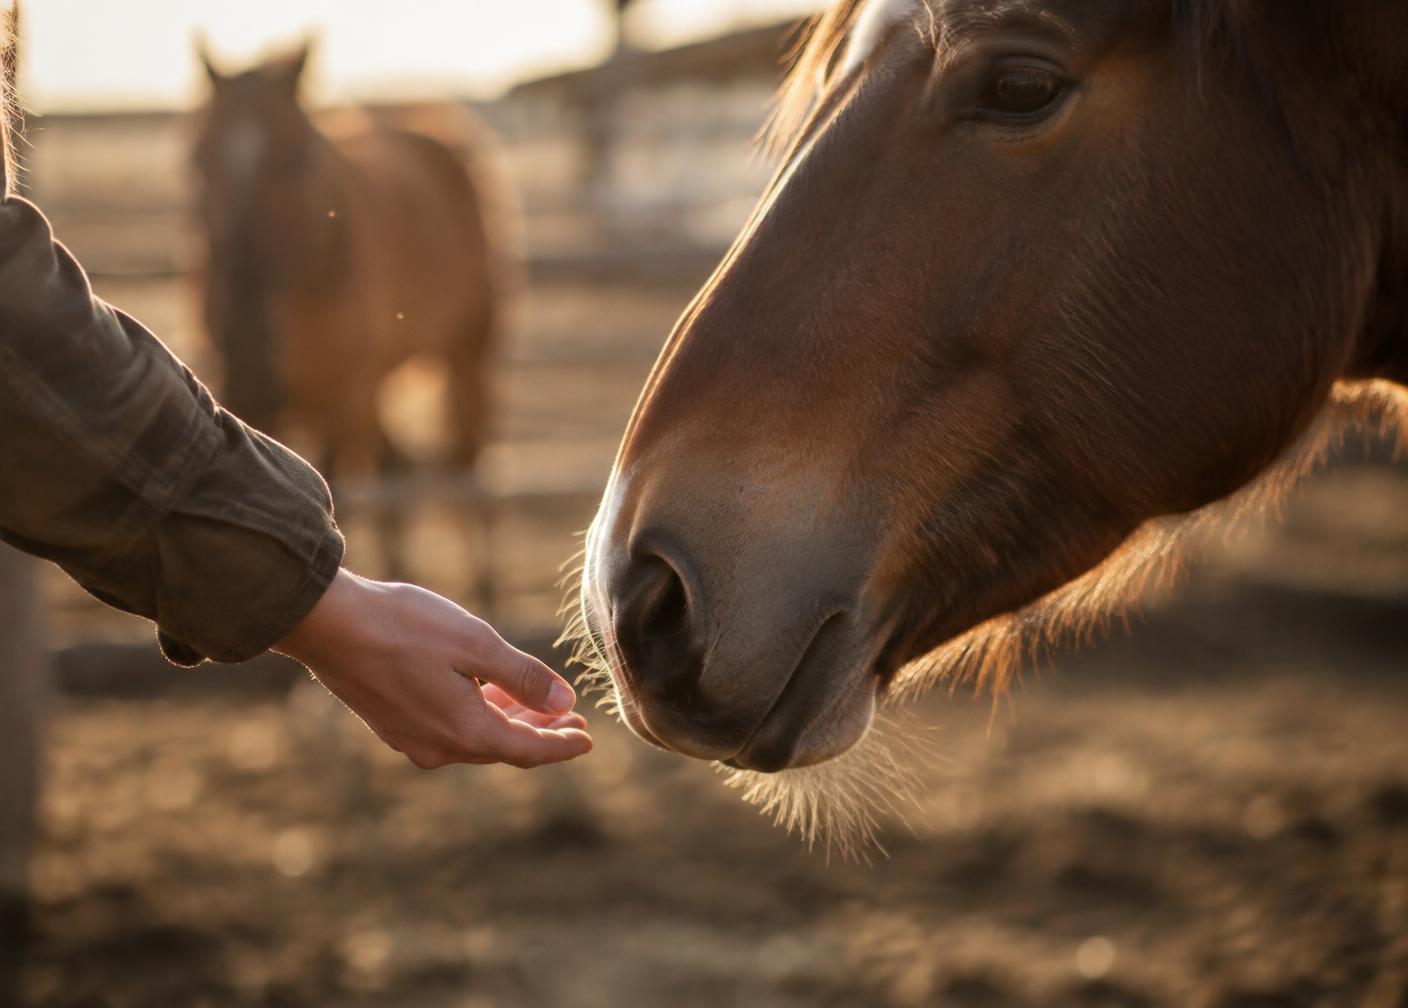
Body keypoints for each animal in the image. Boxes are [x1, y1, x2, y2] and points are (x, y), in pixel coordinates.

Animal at [191, 41, 508, 577]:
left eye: (301, 159)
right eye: (198, 163)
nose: (250, 346)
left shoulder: (340, 397)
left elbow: (336, 491)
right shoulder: (252, 403)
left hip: (467, 352)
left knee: (467, 453)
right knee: (395, 462)